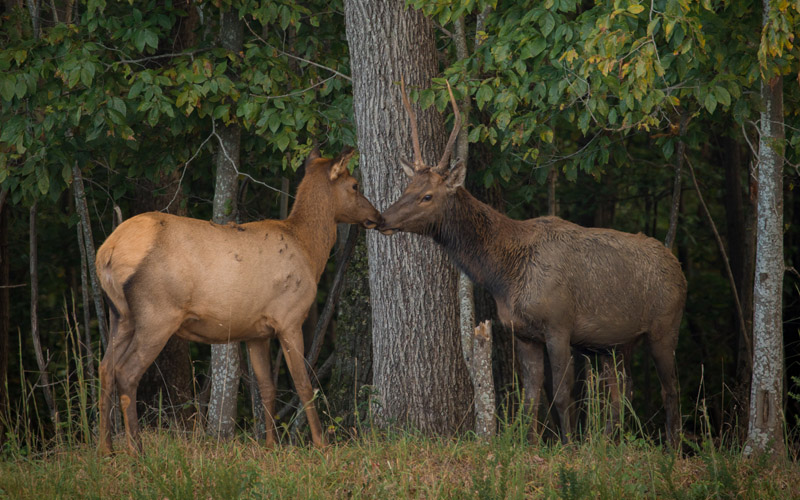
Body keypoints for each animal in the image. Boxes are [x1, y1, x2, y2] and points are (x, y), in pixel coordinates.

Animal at [96, 147, 381, 455]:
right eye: (355, 185)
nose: (377, 216)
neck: (309, 250)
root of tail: (107, 252)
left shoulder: (256, 332)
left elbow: (266, 387)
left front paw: (270, 445)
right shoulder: (289, 317)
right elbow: (304, 383)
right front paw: (321, 444)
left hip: (120, 314)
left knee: (105, 368)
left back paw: (106, 449)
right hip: (157, 313)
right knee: (126, 372)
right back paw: (136, 449)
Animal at [378, 80, 687, 447]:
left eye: (428, 195)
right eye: (407, 187)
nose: (382, 219)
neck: (504, 278)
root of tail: (679, 267)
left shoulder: (559, 324)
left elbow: (563, 394)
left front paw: (568, 446)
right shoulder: (524, 333)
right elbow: (530, 397)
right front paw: (530, 444)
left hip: (665, 326)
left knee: (671, 390)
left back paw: (672, 448)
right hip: (614, 344)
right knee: (623, 391)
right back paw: (606, 442)